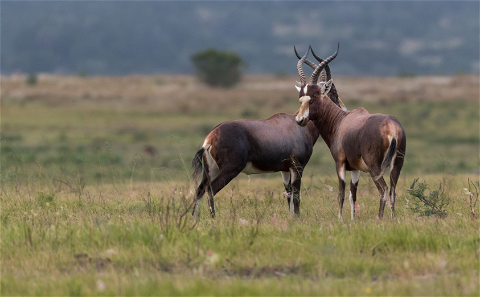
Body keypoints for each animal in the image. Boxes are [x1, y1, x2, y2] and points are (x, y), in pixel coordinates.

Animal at [192, 56, 348, 217]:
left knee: (199, 191)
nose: (344, 109)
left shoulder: (285, 170)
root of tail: (211, 138)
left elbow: (289, 196)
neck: (297, 125)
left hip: (211, 170)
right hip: (229, 170)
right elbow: (296, 197)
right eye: (334, 92)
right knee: (210, 190)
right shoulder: (297, 167)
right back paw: (213, 219)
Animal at [294, 45, 406, 219]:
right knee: (393, 191)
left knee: (384, 190)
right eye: (301, 98)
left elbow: (341, 193)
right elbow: (353, 194)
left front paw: (340, 219)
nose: (299, 120)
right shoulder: (355, 169)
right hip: (397, 165)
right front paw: (353, 220)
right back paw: (393, 220)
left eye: (312, 98)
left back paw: (379, 219)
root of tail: (391, 126)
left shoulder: (340, 163)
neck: (341, 121)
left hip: (375, 167)